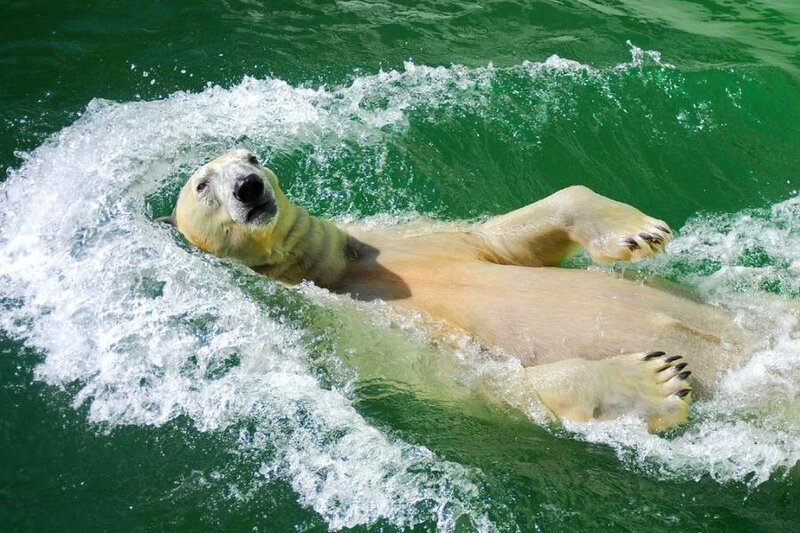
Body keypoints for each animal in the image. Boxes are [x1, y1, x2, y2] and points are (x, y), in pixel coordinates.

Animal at [161, 148, 754, 432]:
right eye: (202, 184)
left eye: (252, 157)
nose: (248, 187)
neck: (332, 271)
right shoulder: (363, 329)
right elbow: (474, 378)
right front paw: (654, 379)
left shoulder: (409, 241)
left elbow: (505, 238)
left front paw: (636, 231)